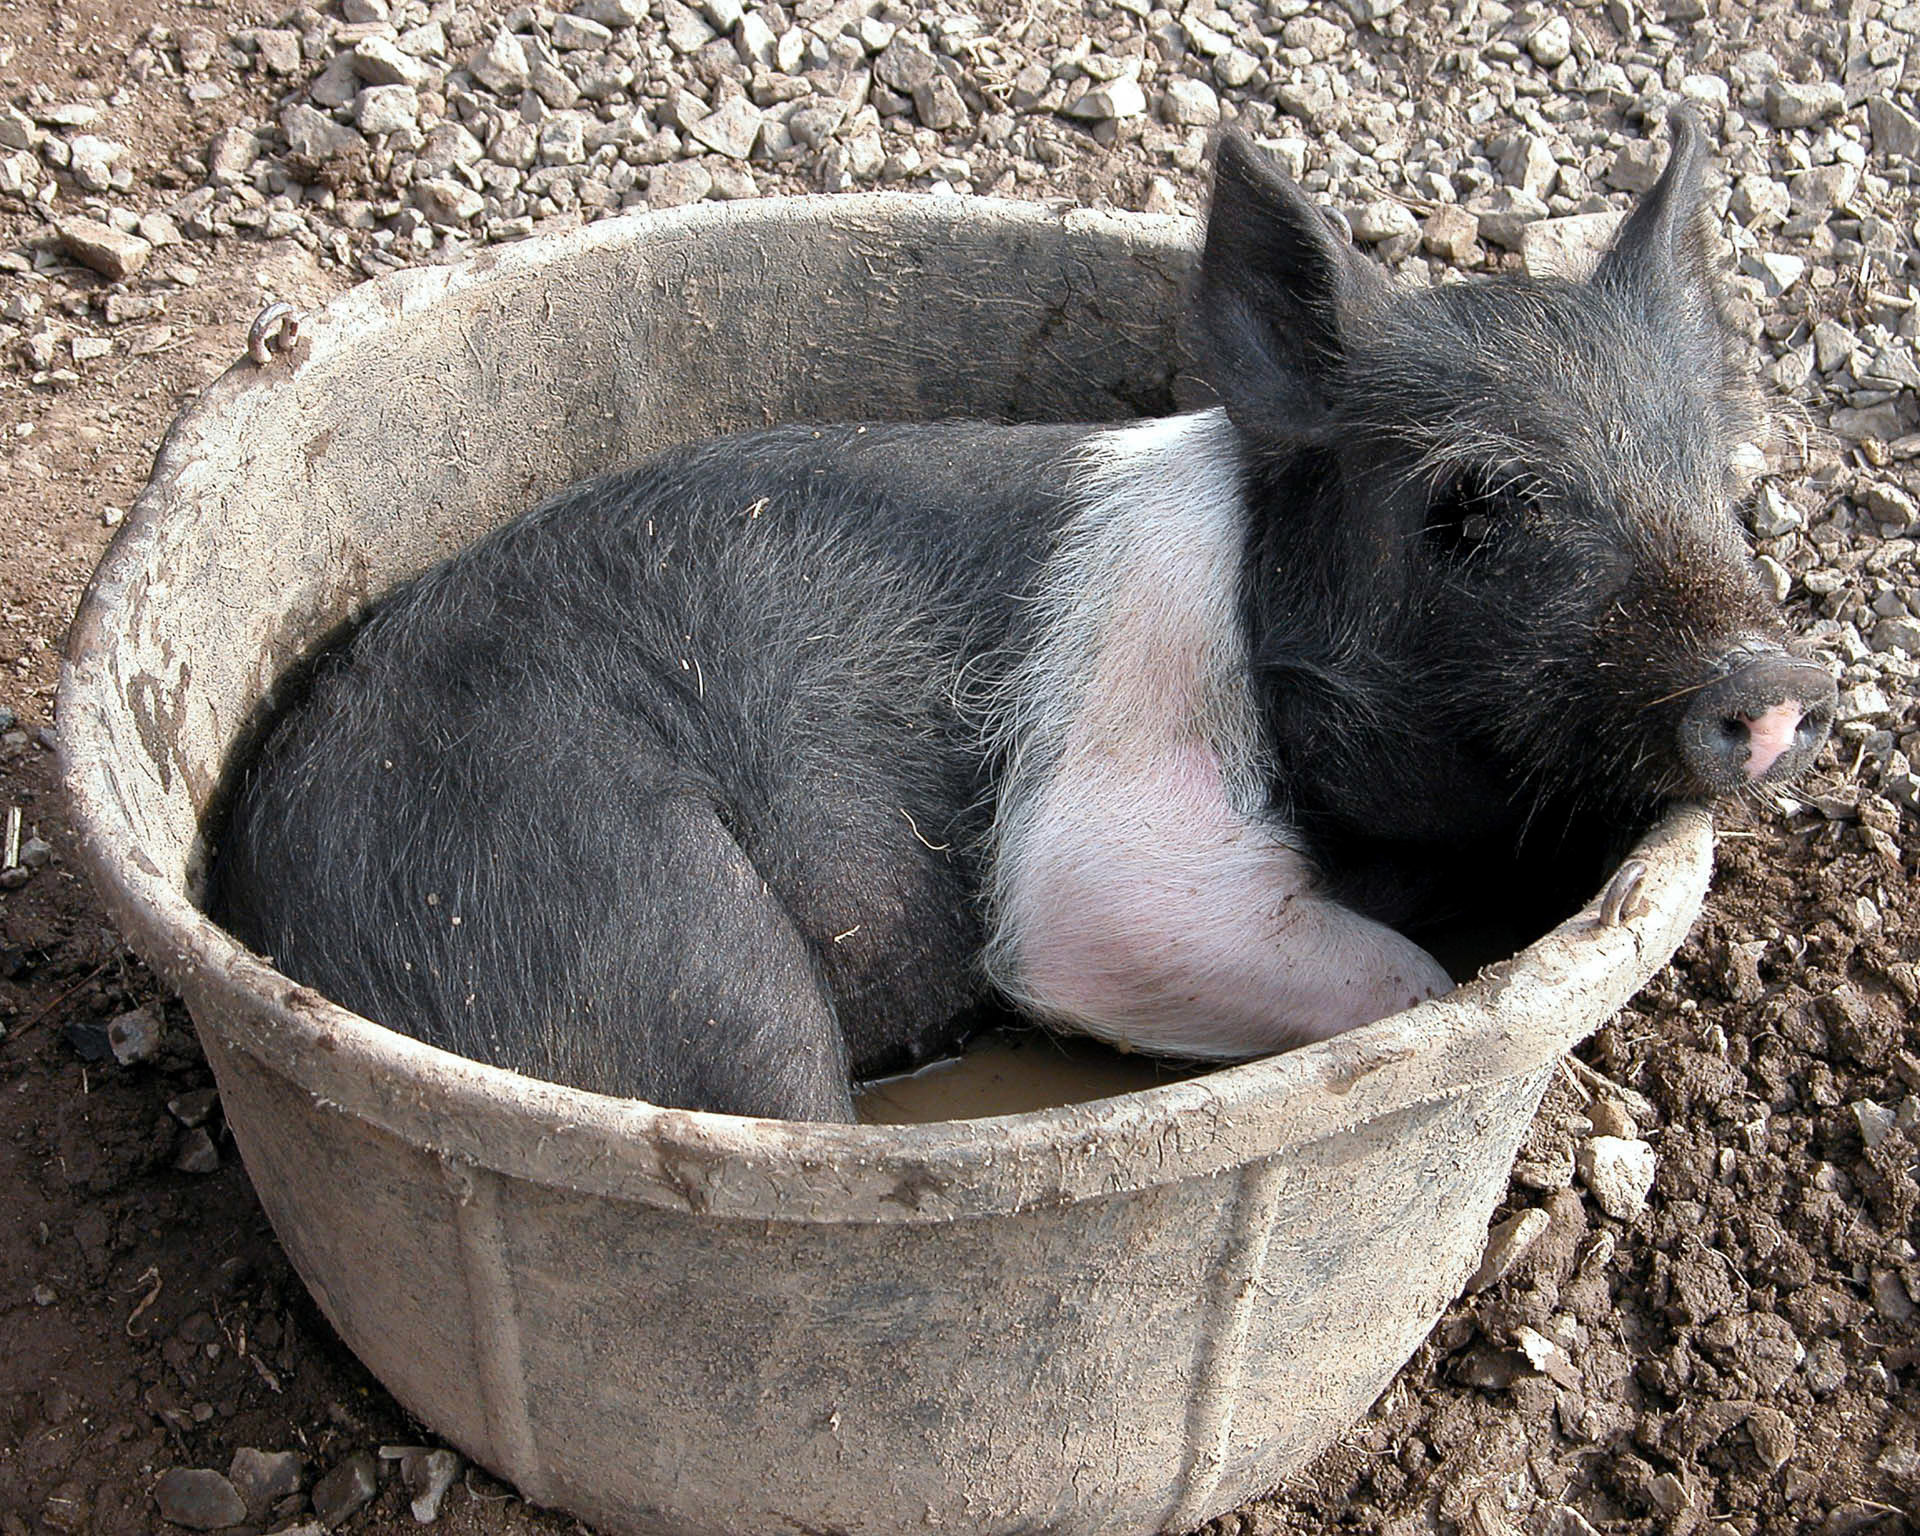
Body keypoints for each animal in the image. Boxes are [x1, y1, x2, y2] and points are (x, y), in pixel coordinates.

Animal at [210, 109, 1835, 1122]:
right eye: (1474, 506)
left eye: (1712, 470)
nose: (1775, 681)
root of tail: (272, 907)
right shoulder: (1111, 857)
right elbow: (1369, 975)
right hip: (635, 917)